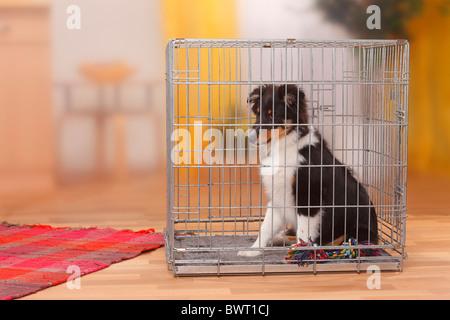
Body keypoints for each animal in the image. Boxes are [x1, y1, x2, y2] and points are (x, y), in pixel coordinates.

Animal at [237, 84, 378, 258]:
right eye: (257, 114)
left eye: (272, 116)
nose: (250, 138)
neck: (284, 147)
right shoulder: (277, 197)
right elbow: (265, 228)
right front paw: (252, 250)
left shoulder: (308, 196)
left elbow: (304, 232)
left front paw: (300, 252)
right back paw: (279, 238)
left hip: (355, 233)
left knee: (336, 243)